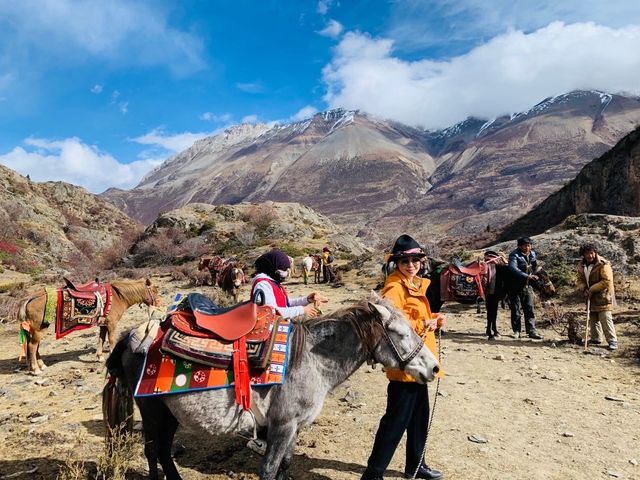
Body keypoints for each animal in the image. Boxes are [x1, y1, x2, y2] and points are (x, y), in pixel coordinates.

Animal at [18, 278, 162, 376]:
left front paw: (100, 357)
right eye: (154, 290)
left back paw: (41, 365)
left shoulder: (103, 324)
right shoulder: (112, 324)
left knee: (34, 346)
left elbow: (101, 339)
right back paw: (36, 369)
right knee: (32, 346)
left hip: (38, 328)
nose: (160, 304)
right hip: (39, 328)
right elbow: (111, 340)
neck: (118, 296)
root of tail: (30, 298)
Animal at [102, 292, 440, 480]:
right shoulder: (282, 425)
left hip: (169, 413)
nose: (434, 368)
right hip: (152, 411)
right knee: (152, 451)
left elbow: (285, 465)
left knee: (162, 451)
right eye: (400, 332)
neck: (310, 358)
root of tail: (132, 335)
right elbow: (268, 469)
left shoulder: (293, 427)